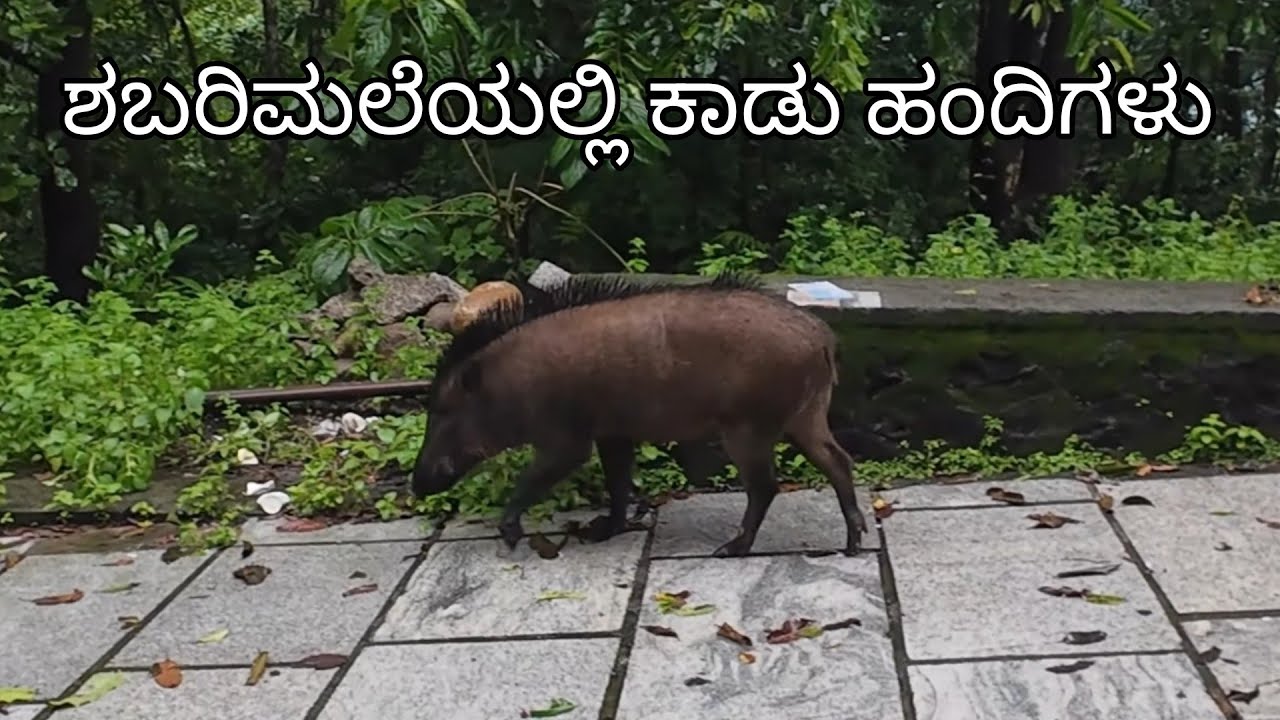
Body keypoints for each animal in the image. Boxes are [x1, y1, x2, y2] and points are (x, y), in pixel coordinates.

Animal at [410, 273, 867, 557]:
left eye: (443, 409)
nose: (416, 485)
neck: (507, 385)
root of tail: (823, 339)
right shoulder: (613, 433)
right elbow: (618, 481)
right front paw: (603, 530)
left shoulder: (567, 438)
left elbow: (536, 477)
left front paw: (508, 535)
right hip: (805, 416)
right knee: (839, 461)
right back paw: (852, 544)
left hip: (748, 427)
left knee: (766, 486)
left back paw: (729, 551)